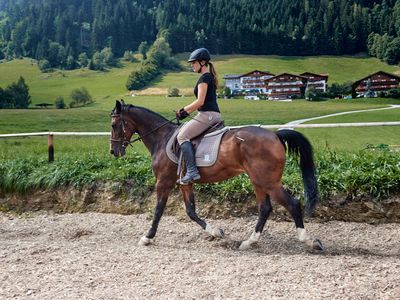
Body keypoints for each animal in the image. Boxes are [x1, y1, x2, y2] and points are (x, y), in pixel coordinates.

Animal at [111, 101, 324, 251]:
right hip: (258, 182)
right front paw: (216, 231)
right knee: (265, 208)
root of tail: (275, 135)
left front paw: (147, 237)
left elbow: (158, 210)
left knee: (292, 204)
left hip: (268, 182)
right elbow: (191, 211)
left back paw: (309, 241)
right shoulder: (184, 184)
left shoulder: (163, 182)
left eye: (114, 124)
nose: (114, 151)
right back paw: (249, 242)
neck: (161, 138)